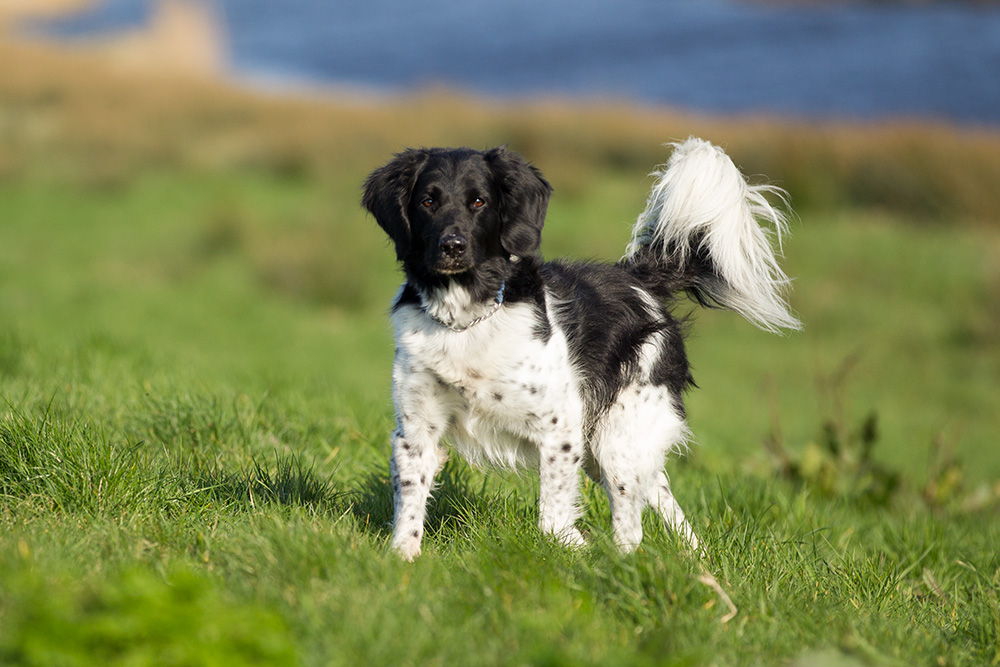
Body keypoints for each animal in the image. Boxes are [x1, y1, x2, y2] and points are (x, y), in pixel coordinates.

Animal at [360, 138, 796, 560]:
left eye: (479, 201)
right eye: (427, 201)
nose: (452, 245)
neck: (466, 322)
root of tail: (637, 280)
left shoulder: (559, 426)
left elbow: (552, 518)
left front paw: (574, 549)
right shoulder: (415, 429)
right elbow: (410, 501)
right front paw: (403, 556)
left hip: (616, 438)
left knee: (631, 524)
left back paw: (627, 565)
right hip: (608, 448)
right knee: (662, 495)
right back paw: (696, 560)